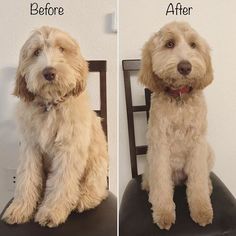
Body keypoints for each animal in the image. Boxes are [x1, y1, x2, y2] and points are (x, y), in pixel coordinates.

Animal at [1, 26, 108, 228]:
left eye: (62, 49)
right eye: (36, 52)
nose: (49, 72)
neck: (51, 105)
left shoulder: (68, 149)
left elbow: (61, 181)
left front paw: (51, 211)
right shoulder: (30, 148)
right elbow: (27, 178)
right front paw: (20, 209)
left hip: (96, 165)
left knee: (96, 188)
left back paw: (84, 199)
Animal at [139, 21, 215, 230]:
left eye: (193, 45)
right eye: (170, 44)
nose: (185, 67)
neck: (180, 97)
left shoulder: (198, 145)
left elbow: (198, 182)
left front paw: (202, 211)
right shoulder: (159, 146)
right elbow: (161, 183)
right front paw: (164, 213)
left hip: (208, 151)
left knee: (203, 176)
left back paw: (208, 186)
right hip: (150, 158)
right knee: (152, 179)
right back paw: (147, 186)